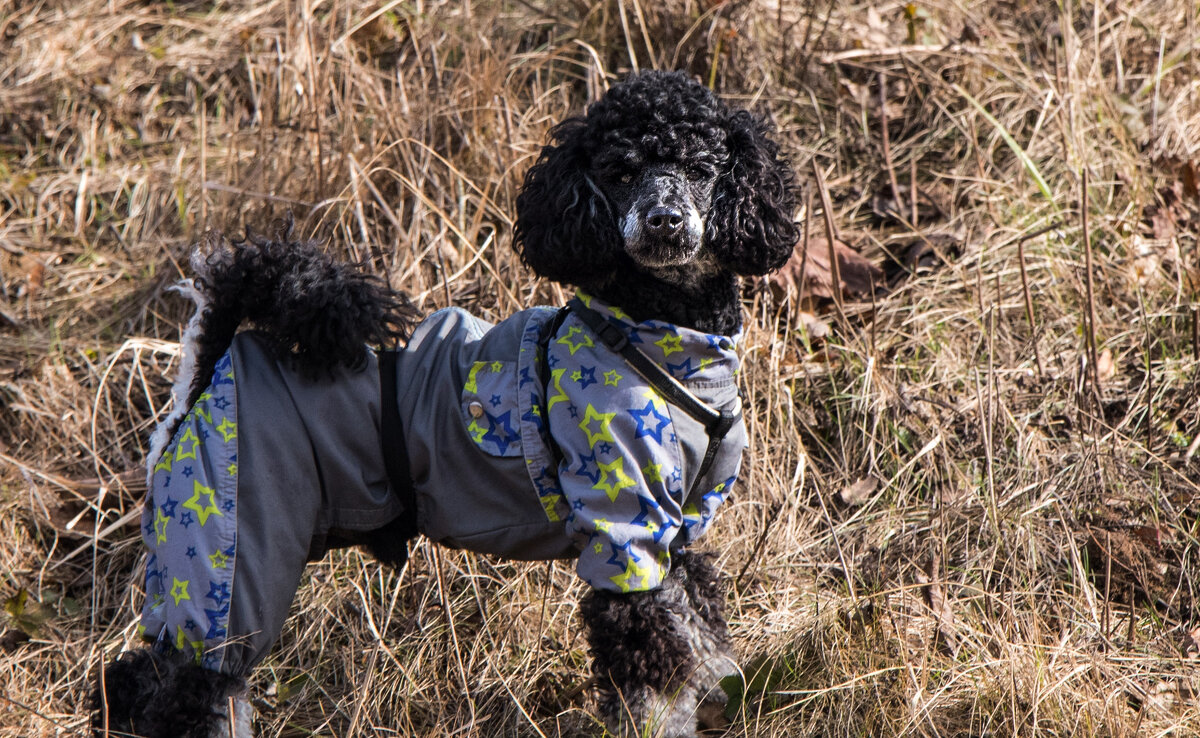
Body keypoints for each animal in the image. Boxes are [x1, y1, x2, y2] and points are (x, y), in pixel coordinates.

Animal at [96, 70, 796, 738]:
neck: (658, 330)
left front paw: (719, 696)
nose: (664, 221)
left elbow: (700, 631)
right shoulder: (624, 534)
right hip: (229, 536)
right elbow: (653, 675)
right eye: (619, 172)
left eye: (703, 169)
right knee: (187, 681)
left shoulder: (674, 531)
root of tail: (204, 376)